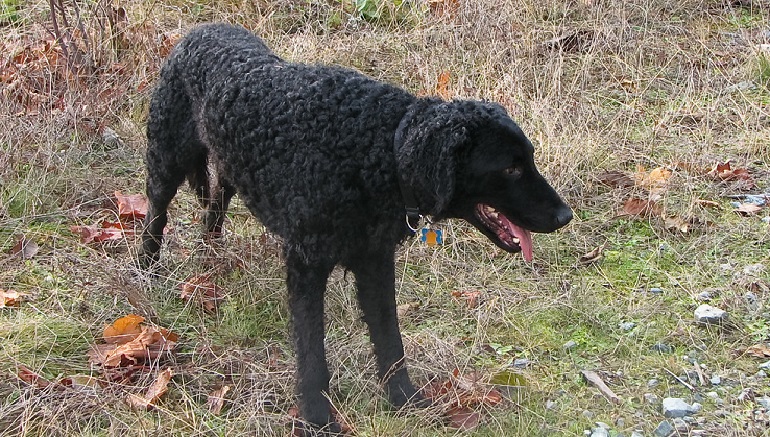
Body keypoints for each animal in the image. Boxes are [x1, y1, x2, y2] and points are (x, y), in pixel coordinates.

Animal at [140, 23, 568, 432]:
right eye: (511, 168)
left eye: (529, 158)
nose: (565, 216)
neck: (379, 147)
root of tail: (199, 30)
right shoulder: (306, 265)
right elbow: (312, 352)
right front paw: (317, 418)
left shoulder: (374, 260)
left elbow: (390, 339)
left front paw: (404, 399)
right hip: (167, 156)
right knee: (156, 214)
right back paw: (148, 270)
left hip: (229, 164)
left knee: (215, 205)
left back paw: (212, 251)